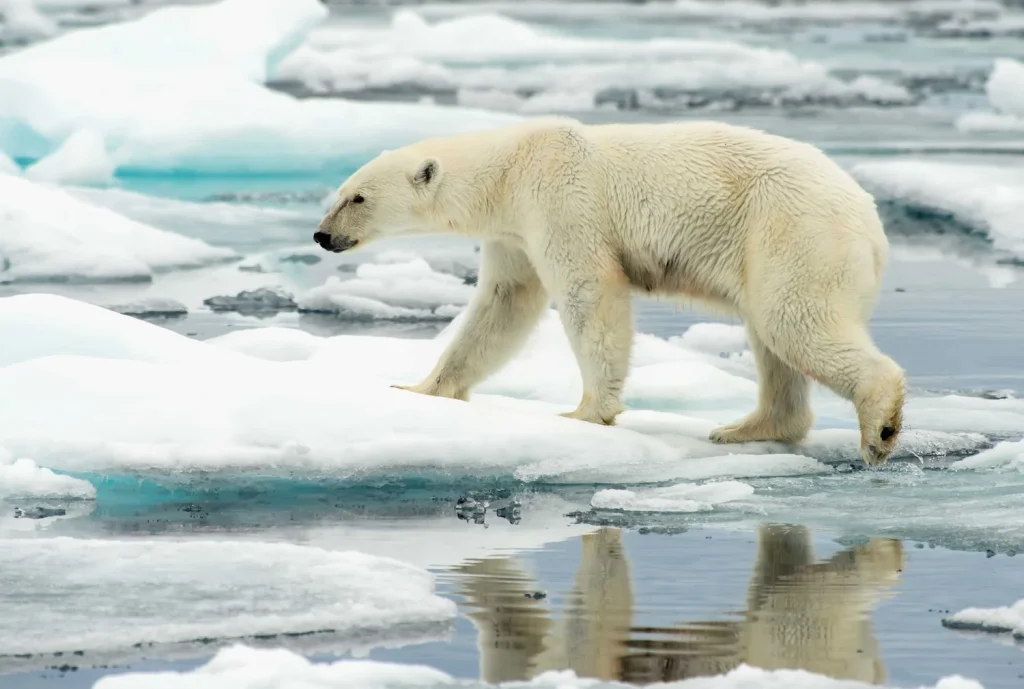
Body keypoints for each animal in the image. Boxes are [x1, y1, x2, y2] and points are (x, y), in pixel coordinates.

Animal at [313, 116, 906, 466]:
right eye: (339, 193)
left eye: (357, 197)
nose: (322, 236)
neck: (510, 165)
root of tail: (870, 219)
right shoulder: (513, 232)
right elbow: (504, 304)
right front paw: (421, 388)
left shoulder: (559, 198)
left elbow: (589, 291)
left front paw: (585, 412)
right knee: (772, 336)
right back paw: (746, 427)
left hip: (794, 230)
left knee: (794, 320)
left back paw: (879, 427)